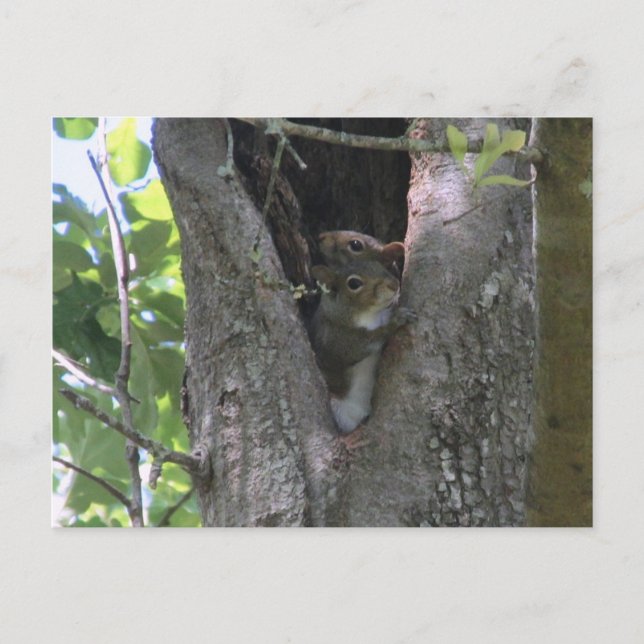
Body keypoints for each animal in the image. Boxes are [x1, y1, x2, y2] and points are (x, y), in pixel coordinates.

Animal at [310, 260, 416, 433]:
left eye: (377, 263)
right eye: (354, 283)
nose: (394, 284)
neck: (372, 316)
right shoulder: (337, 342)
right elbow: (368, 341)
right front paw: (396, 320)